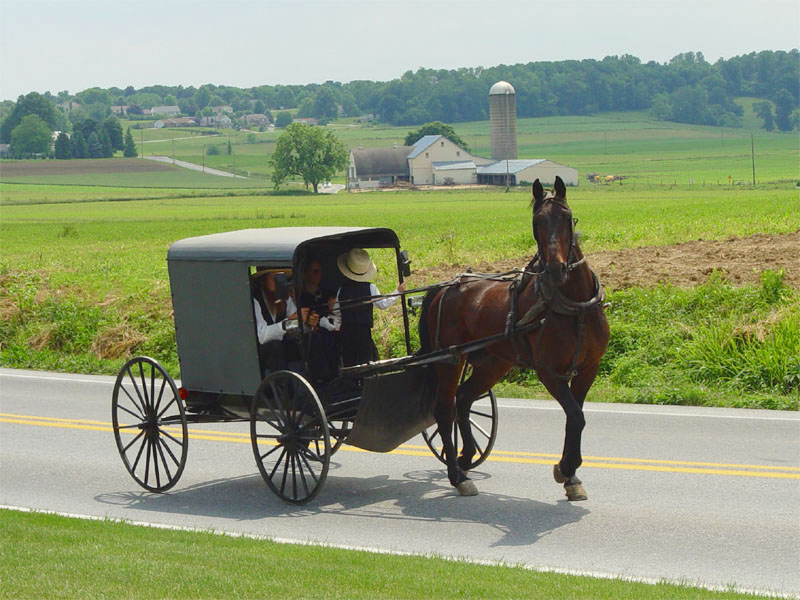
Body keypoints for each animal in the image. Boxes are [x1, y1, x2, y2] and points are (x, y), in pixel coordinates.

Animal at [416, 176, 608, 500]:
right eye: (536, 222)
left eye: (567, 217)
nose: (555, 269)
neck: (574, 306)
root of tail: (445, 287)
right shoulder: (549, 373)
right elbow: (575, 415)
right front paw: (566, 468)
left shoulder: (588, 368)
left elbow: (576, 417)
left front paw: (571, 476)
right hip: (450, 359)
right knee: (444, 409)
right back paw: (458, 475)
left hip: (493, 362)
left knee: (463, 398)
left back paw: (466, 456)